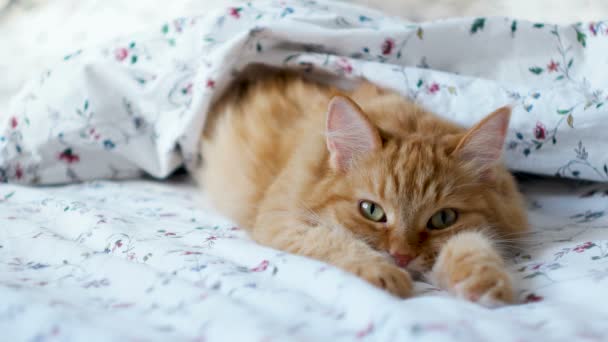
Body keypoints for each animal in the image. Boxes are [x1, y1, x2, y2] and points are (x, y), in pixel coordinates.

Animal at [196, 71, 528, 304]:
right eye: (371, 211)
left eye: (443, 219)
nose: (401, 257)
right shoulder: (282, 220)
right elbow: (338, 242)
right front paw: (385, 274)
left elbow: (472, 246)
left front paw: (485, 281)